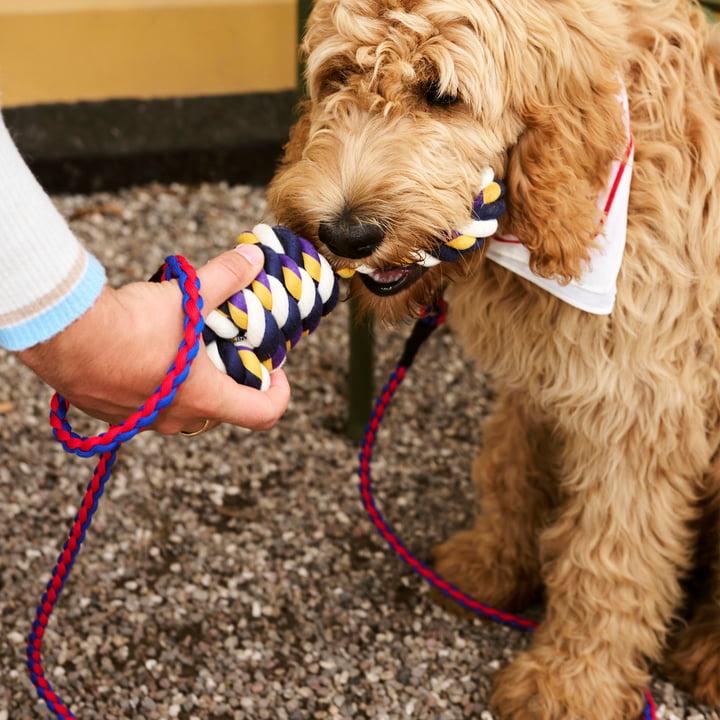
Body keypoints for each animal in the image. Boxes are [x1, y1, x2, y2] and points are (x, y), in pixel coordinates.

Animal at [268, 2, 720, 716]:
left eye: (441, 94)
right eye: (338, 76)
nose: (346, 233)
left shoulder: (640, 409)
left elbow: (610, 555)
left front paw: (570, 682)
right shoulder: (545, 374)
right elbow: (511, 465)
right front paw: (493, 567)